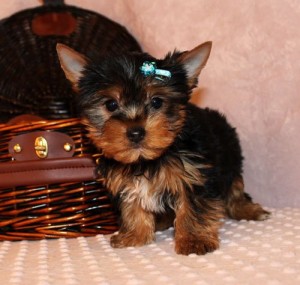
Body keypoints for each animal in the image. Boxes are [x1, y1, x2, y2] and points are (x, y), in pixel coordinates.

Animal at [56, 41, 270, 254]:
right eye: (111, 104)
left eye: (157, 101)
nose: (135, 132)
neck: (146, 160)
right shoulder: (124, 182)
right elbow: (131, 205)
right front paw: (135, 236)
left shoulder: (196, 176)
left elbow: (193, 207)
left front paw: (194, 240)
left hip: (230, 158)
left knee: (235, 188)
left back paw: (248, 209)